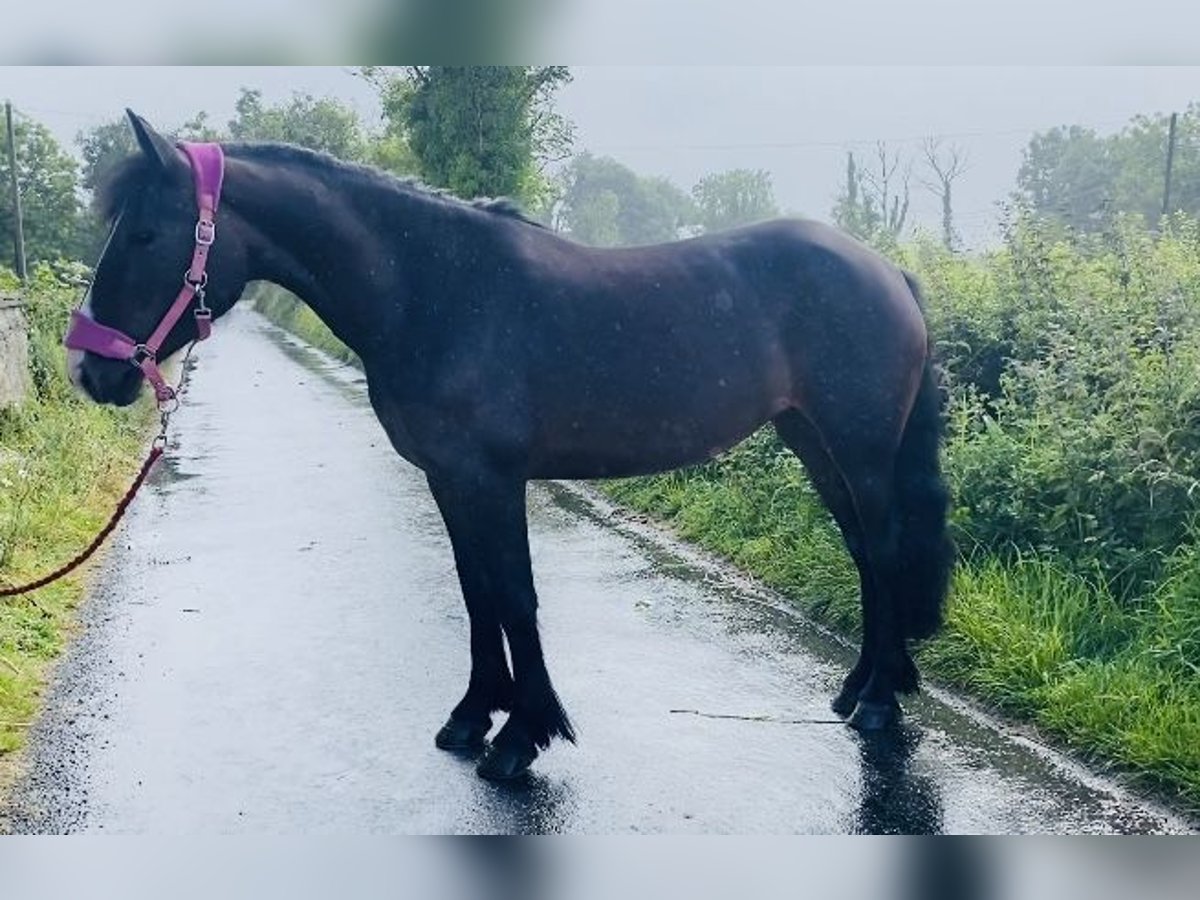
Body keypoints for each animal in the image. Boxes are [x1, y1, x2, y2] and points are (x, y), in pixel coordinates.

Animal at [68, 112, 955, 782]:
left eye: (145, 233)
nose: (89, 369)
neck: (434, 289)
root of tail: (889, 272)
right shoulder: (450, 481)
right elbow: (477, 594)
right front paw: (474, 717)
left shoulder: (492, 480)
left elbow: (516, 596)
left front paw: (524, 736)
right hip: (813, 441)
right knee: (865, 553)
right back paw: (859, 687)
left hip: (860, 449)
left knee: (882, 549)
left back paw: (880, 702)